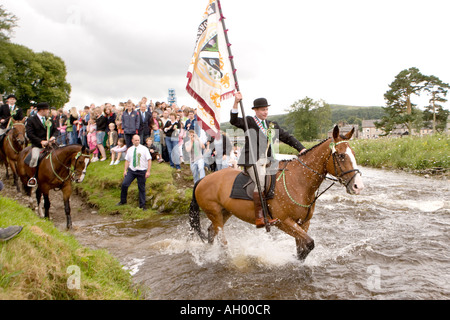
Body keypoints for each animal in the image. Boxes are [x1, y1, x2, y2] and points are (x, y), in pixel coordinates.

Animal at [188, 125, 364, 260]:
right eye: (341, 156)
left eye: (354, 154)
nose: (358, 186)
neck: (299, 181)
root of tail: (202, 180)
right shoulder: (283, 221)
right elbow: (309, 244)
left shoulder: (303, 223)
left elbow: (302, 247)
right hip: (214, 213)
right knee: (222, 239)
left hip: (225, 212)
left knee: (211, 232)